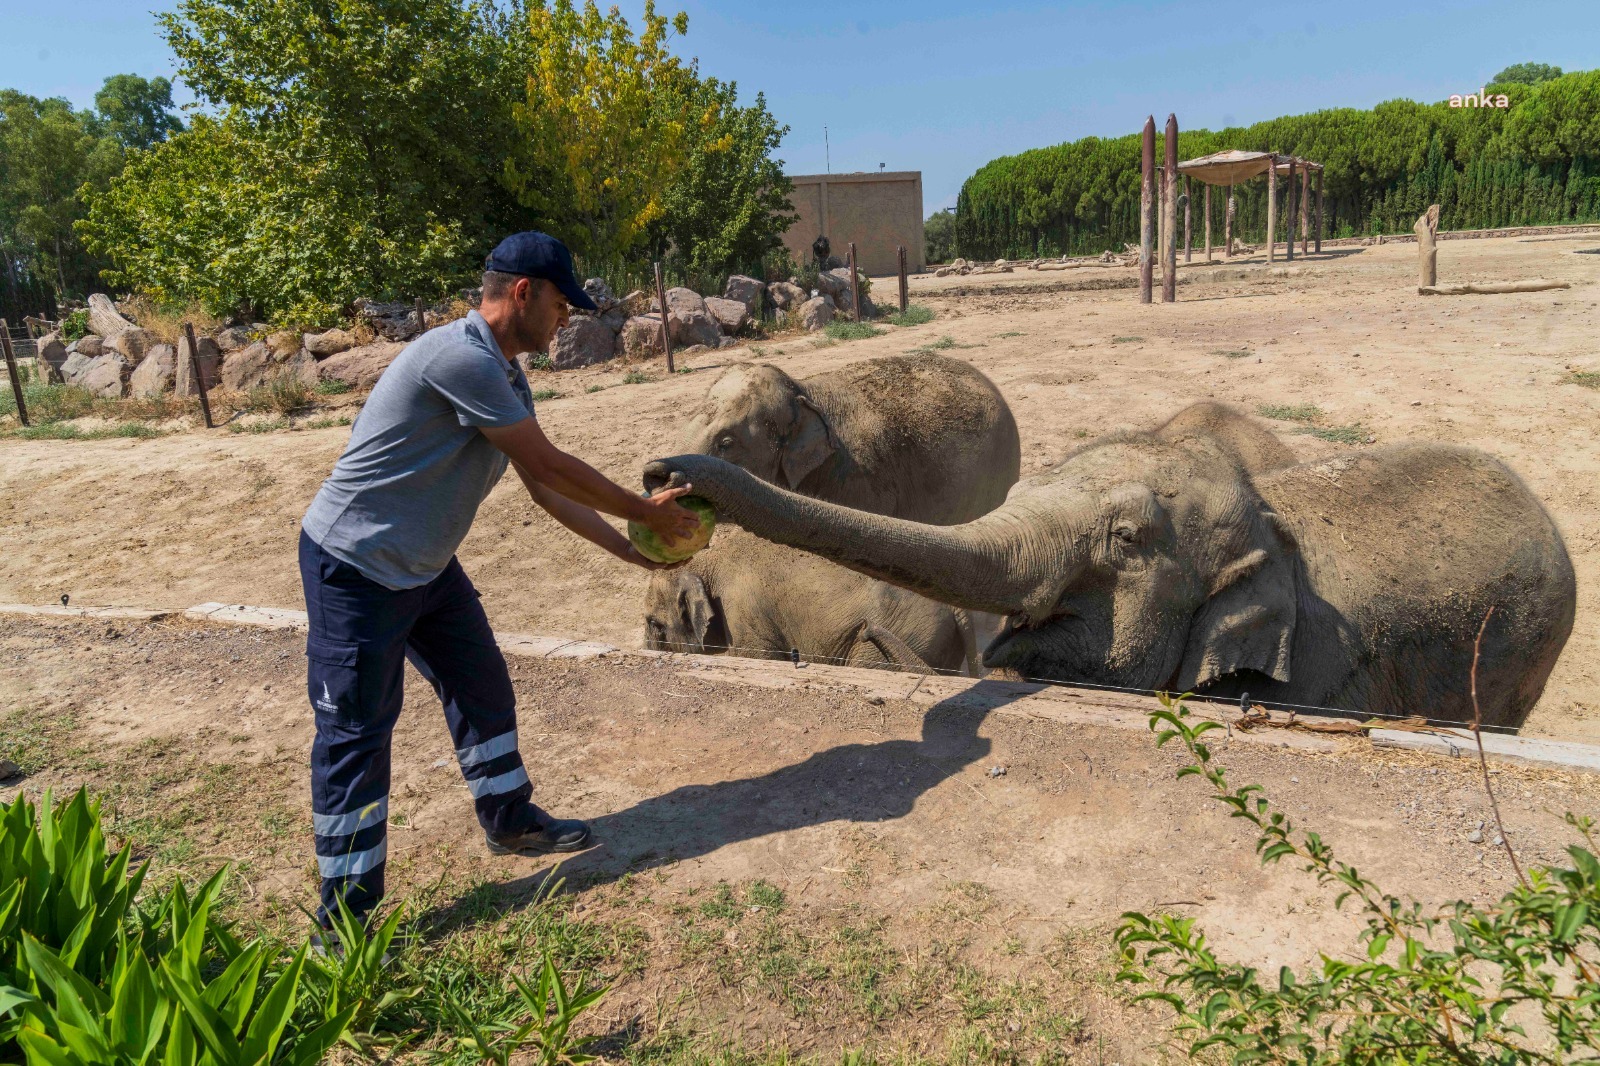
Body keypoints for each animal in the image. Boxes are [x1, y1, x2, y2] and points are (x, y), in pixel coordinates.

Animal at [643, 524, 979, 672]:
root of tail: (956, 607)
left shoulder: (744, 617)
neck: (707, 560)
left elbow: (760, 655)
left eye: (653, 623)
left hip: (904, 635)